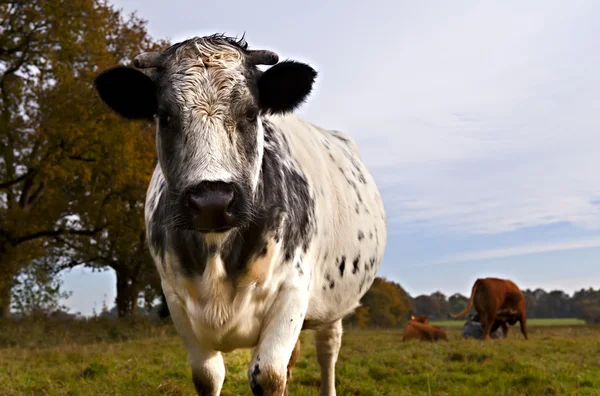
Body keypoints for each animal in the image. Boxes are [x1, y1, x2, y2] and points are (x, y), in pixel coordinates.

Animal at [92, 34, 386, 396]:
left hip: (332, 304)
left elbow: (269, 375)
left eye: (250, 113)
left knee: (327, 350)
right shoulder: (176, 300)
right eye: (165, 116)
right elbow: (208, 376)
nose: (212, 201)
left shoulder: (292, 292)